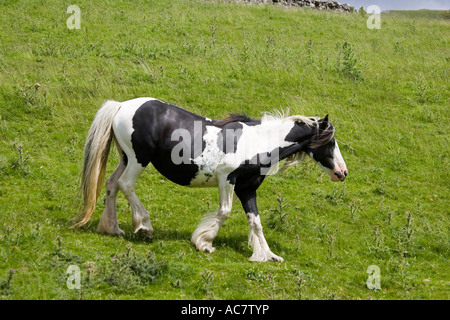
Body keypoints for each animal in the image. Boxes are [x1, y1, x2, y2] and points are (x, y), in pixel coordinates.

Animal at [74, 98, 348, 262]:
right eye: (331, 141)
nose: (342, 173)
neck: (259, 142)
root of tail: (121, 105)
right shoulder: (227, 178)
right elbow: (224, 212)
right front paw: (204, 242)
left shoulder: (247, 189)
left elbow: (256, 222)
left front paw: (267, 255)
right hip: (138, 159)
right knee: (125, 185)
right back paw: (144, 226)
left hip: (125, 158)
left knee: (111, 185)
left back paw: (113, 228)